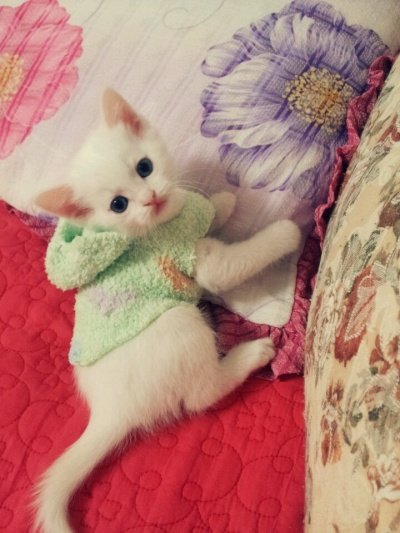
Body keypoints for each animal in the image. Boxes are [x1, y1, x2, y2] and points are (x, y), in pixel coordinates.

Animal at [33, 88, 301, 533]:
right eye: (118, 205)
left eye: (145, 167)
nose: (151, 198)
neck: (156, 227)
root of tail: (110, 411)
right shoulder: (203, 264)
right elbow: (234, 263)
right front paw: (287, 232)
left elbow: (201, 208)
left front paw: (221, 202)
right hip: (180, 324)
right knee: (201, 397)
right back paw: (252, 353)